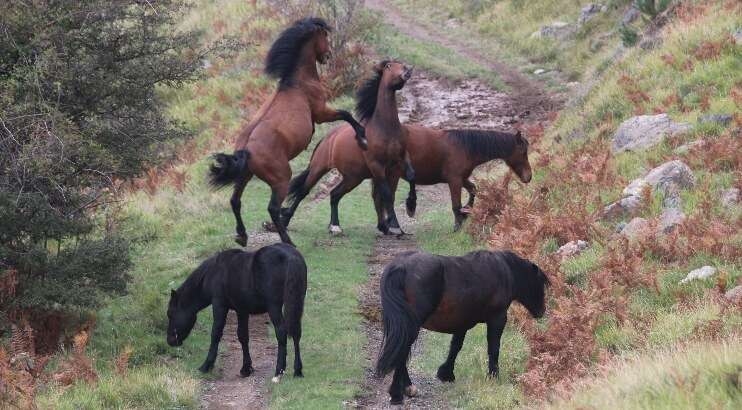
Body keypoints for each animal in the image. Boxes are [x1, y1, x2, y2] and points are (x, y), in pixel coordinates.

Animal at [166, 243, 307, 382]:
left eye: (170, 314)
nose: (170, 341)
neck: (214, 273)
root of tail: (291, 257)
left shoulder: (219, 305)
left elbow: (216, 334)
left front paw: (206, 366)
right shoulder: (242, 310)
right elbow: (243, 336)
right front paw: (246, 369)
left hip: (274, 307)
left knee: (281, 332)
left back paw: (278, 372)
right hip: (296, 302)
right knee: (296, 332)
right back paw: (297, 370)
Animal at [208, 17, 367, 247]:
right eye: (324, 36)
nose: (327, 55)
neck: (298, 82)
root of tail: (246, 150)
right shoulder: (321, 113)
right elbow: (346, 114)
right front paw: (362, 136)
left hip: (245, 176)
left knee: (235, 201)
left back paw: (242, 236)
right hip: (281, 179)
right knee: (273, 208)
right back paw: (287, 241)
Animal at [282, 60, 413, 235]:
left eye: (402, 64)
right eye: (389, 66)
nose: (408, 71)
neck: (385, 128)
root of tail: (327, 139)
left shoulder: (399, 161)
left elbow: (408, 178)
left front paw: (408, 208)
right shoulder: (377, 166)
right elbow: (386, 194)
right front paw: (395, 226)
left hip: (353, 177)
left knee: (334, 195)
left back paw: (335, 226)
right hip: (319, 169)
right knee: (304, 191)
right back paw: (286, 221)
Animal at [376, 249, 549, 405]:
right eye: (539, 284)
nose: (541, 311)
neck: (504, 271)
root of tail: (401, 266)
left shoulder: (461, 323)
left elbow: (455, 347)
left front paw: (446, 373)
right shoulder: (497, 319)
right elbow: (493, 348)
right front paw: (493, 376)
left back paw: (406, 388)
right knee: (402, 351)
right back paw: (398, 393)